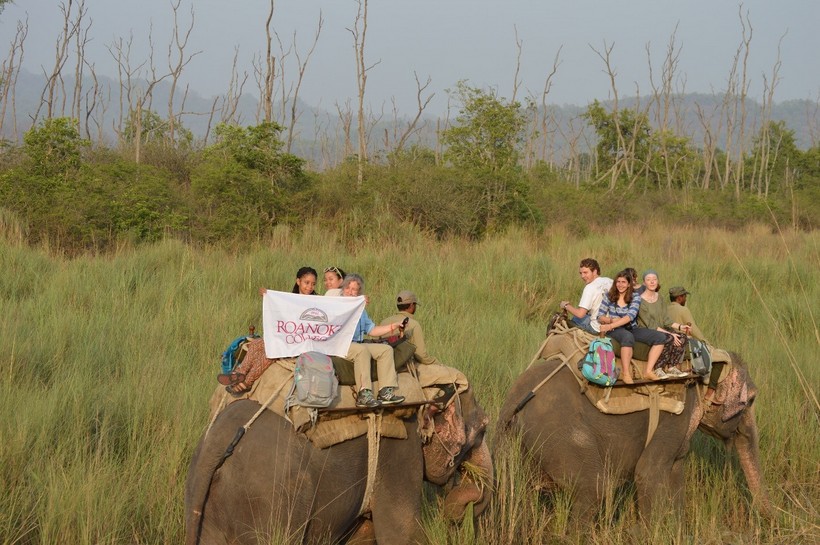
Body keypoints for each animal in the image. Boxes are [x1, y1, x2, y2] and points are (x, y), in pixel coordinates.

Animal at [186, 386, 494, 544]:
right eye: (482, 430)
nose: (453, 509)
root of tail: (217, 442)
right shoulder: (399, 453)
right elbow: (401, 532)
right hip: (271, 503)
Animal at [496, 352, 772, 524]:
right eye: (751, 400)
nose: (769, 520)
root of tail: (512, 401)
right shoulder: (674, 418)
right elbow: (648, 473)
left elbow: (675, 474)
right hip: (560, 434)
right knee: (593, 489)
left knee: (518, 493)